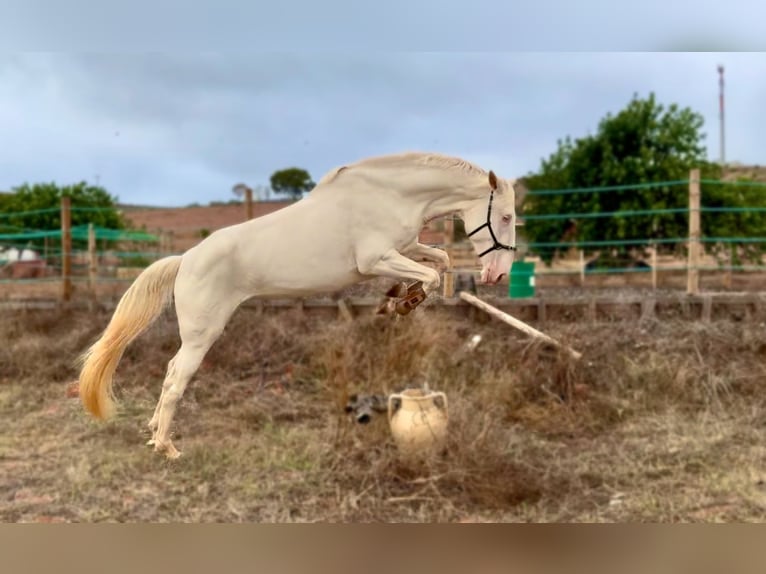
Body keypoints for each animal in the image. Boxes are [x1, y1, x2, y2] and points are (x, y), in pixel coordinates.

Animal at [78, 152, 520, 460]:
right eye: (506, 216)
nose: (498, 274)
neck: (389, 196)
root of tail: (185, 259)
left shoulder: (406, 247)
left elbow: (440, 260)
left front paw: (401, 297)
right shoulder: (375, 258)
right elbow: (428, 273)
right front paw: (402, 303)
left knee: (170, 373)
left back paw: (155, 432)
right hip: (203, 334)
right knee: (175, 382)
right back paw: (166, 448)